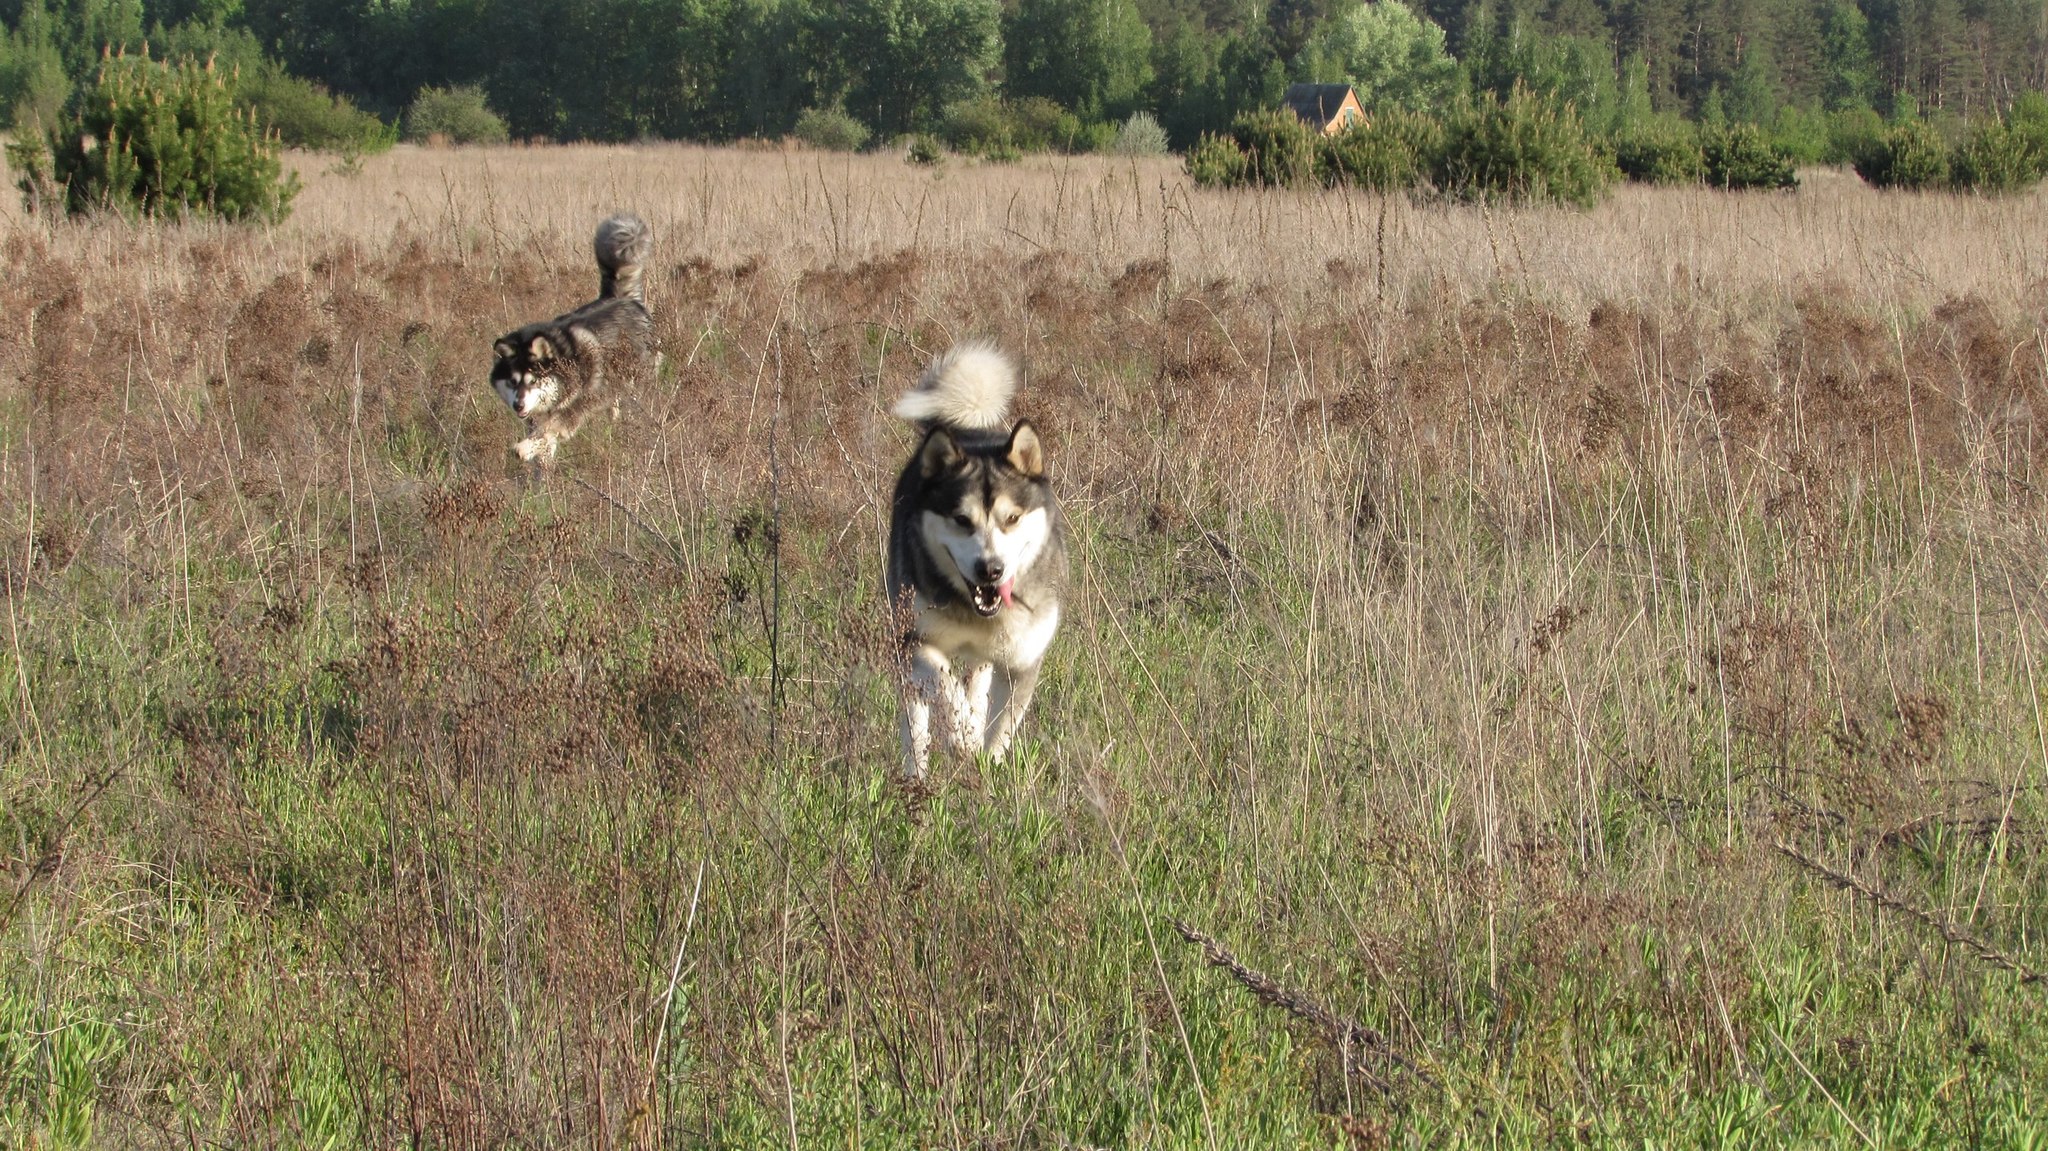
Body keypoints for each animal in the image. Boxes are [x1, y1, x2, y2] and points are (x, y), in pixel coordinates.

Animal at [487, 217, 647, 458]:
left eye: (533, 380)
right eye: (512, 382)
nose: (518, 406)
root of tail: (622, 298)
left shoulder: (577, 406)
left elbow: (552, 426)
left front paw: (524, 448)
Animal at [884, 335, 1073, 774]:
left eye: (1012, 518)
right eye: (961, 519)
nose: (991, 569)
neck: (979, 616)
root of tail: (968, 428)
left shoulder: (1021, 662)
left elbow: (1001, 726)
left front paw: (988, 762)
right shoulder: (915, 638)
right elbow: (943, 681)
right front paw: (963, 735)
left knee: (978, 676)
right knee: (917, 718)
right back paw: (916, 771)